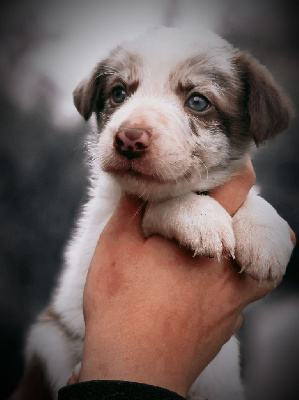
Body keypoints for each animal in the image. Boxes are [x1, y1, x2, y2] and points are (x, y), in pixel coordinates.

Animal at [15, 26, 294, 398]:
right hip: (49, 342)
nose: (129, 139)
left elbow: (251, 196)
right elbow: (157, 205)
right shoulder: (96, 234)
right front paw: (199, 216)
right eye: (118, 93)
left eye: (198, 101)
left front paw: (266, 235)